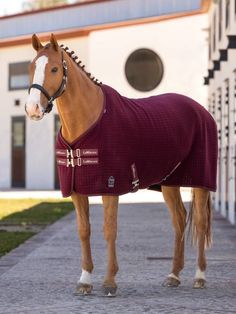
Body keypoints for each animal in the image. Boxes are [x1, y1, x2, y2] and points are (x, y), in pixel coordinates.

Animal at [25, 34, 216, 296]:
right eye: (32, 67)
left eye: (54, 69)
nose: (32, 108)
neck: (87, 120)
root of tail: (202, 111)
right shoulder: (76, 190)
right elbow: (84, 231)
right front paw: (85, 280)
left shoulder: (110, 187)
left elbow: (109, 230)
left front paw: (109, 282)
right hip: (169, 183)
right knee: (179, 219)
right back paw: (173, 276)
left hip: (200, 181)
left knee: (199, 221)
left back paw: (200, 276)